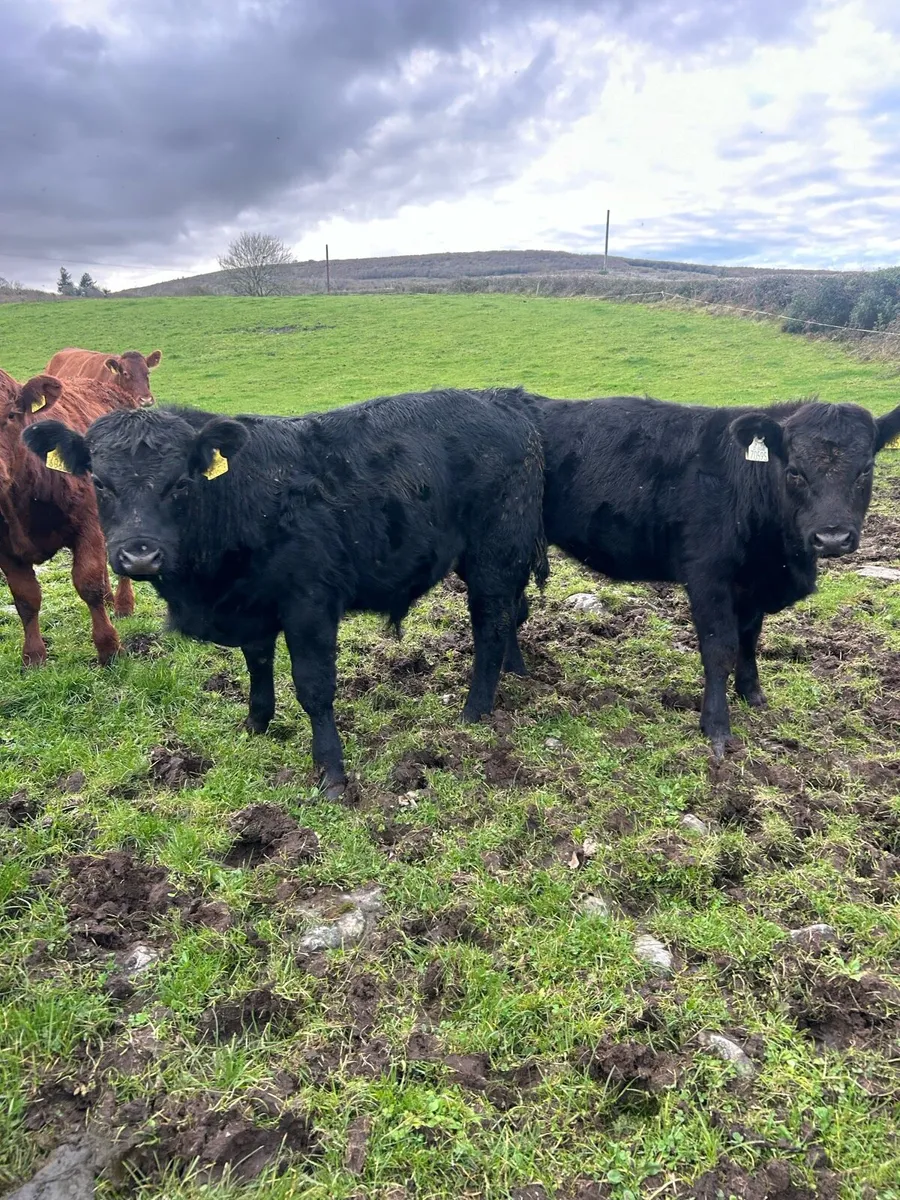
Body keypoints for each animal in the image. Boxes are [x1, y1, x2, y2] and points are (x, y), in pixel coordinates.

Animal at [0, 368, 142, 666]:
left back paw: (123, 604)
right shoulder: (5, 551)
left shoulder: (87, 524)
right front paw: (33, 656)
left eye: (11, 415)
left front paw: (109, 648)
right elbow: (25, 598)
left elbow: (88, 584)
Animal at [24, 388, 548, 796]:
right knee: (510, 615)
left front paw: (331, 772)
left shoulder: (309, 607)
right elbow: (257, 666)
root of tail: (503, 402)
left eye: (181, 483)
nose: (139, 556)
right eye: (98, 481)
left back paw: (475, 710)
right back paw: (514, 672)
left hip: (494, 555)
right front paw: (255, 725)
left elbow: (314, 688)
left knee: (491, 625)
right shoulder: (251, 606)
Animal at [508, 393, 900, 758]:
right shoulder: (708, 577)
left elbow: (749, 640)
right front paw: (716, 727)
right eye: (794, 471)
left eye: (866, 470)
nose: (832, 537)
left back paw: (516, 671)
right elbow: (720, 649)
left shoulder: (750, 584)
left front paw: (752, 693)